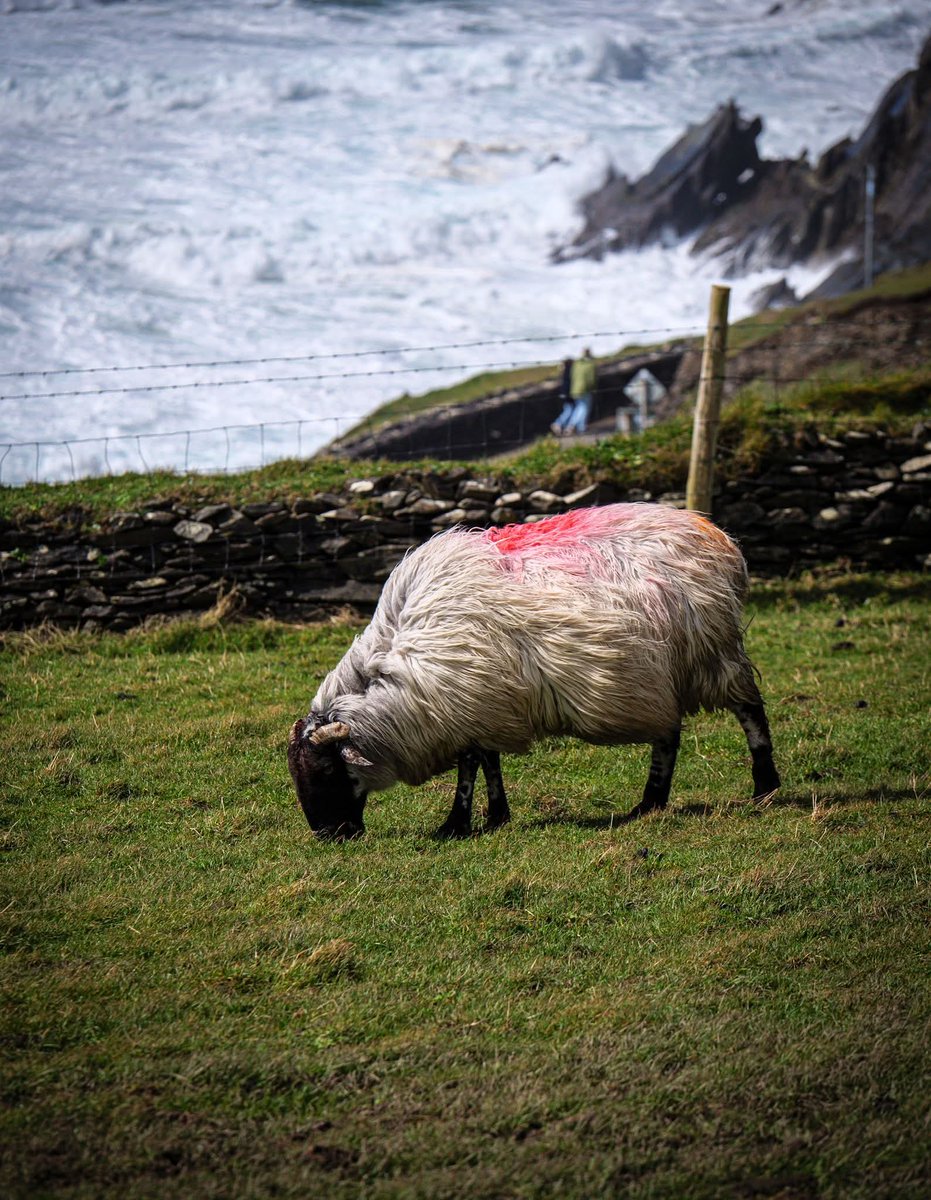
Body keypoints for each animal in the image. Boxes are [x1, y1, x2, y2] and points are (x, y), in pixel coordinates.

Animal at [287, 502, 780, 839]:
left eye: (327, 771)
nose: (329, 836)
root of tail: (717, 536)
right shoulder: (483, 707)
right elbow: (488, 761)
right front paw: (495, 817)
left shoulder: (468, 704)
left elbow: (469, 767)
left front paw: (456, 823)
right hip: (662, 674)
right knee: (669, 734)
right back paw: (650, 803)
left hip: (712, 652)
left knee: (749, 712)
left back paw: (765, 788)